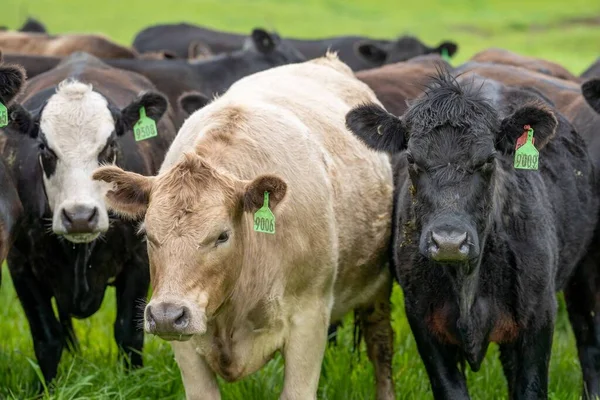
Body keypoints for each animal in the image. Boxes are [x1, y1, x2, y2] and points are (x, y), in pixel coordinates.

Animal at [1, 51, 176, 382]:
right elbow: (47, 338)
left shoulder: (139, 260)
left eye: (109, 146)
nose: (80, 216)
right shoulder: (21, 266)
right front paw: (50, 387)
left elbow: (128, 334)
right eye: (45, 149)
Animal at [92, 54, 394, 400]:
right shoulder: (186, 347)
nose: (167, 314)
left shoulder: (309, 320)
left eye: (222, 235)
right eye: (148, 235)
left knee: (381, 346)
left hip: (378, 289)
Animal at [344, 70, 596, 398]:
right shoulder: (424, 323)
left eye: (488, 159)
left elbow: (530, 387)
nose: (449, 242)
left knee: (588, 337)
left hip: (586, 269)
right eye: (411, 159)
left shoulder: (539, 317)